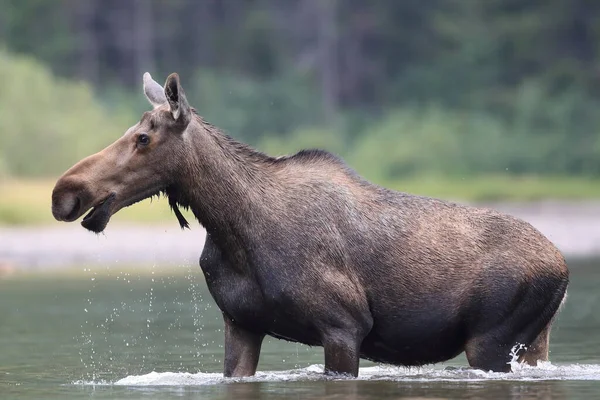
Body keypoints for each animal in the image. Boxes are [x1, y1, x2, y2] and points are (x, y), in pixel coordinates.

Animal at [51, 72, 568, 378]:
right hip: (532, 340)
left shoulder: (343, 327)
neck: (233, 229)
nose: (65, 192)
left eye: (142, 137)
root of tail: (562, 267)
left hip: (491, 340)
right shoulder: (240, 323)